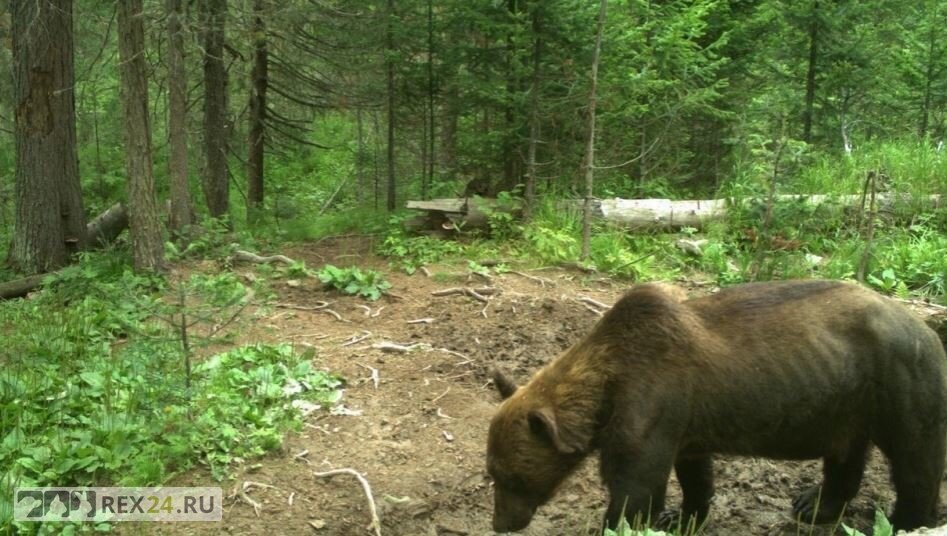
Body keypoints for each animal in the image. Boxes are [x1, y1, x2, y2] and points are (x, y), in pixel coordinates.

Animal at [488, 280, 947, 532]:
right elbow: (693, 472)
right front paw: (683, 517)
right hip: (847, 399)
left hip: (901, 384)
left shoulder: (650, 403)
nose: (501, 523)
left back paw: (907, 520)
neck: (606, 385)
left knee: (915, 459)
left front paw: (630, 520)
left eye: (507, 475)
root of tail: (927, 328)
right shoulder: (684, 418)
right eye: (493, 472)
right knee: (846, 454)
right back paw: (813, 505)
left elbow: (636, 489)